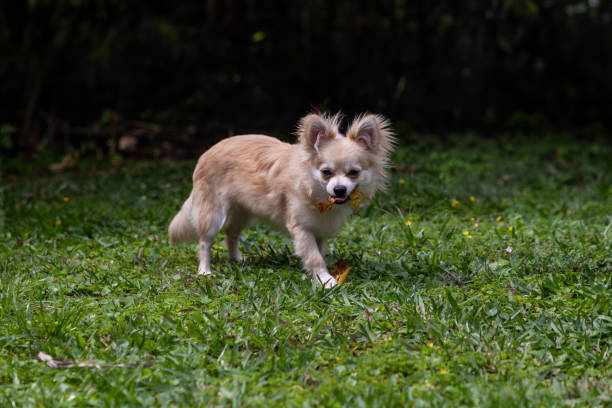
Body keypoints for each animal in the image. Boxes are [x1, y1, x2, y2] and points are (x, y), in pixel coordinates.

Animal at [169, 112, 396, 286]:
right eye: (326, 172)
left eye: (354, 173)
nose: (339, 189)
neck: (318, 197)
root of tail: (207, 152)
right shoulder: (301, 228)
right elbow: (314, 257)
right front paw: (324, 279)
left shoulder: (320, 230)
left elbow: (320, 252)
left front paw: (320, 276)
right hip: (213, 213)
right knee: (205, 241)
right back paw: (205, 271)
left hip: (245, 210)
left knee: (231, 232)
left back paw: (237, 259)